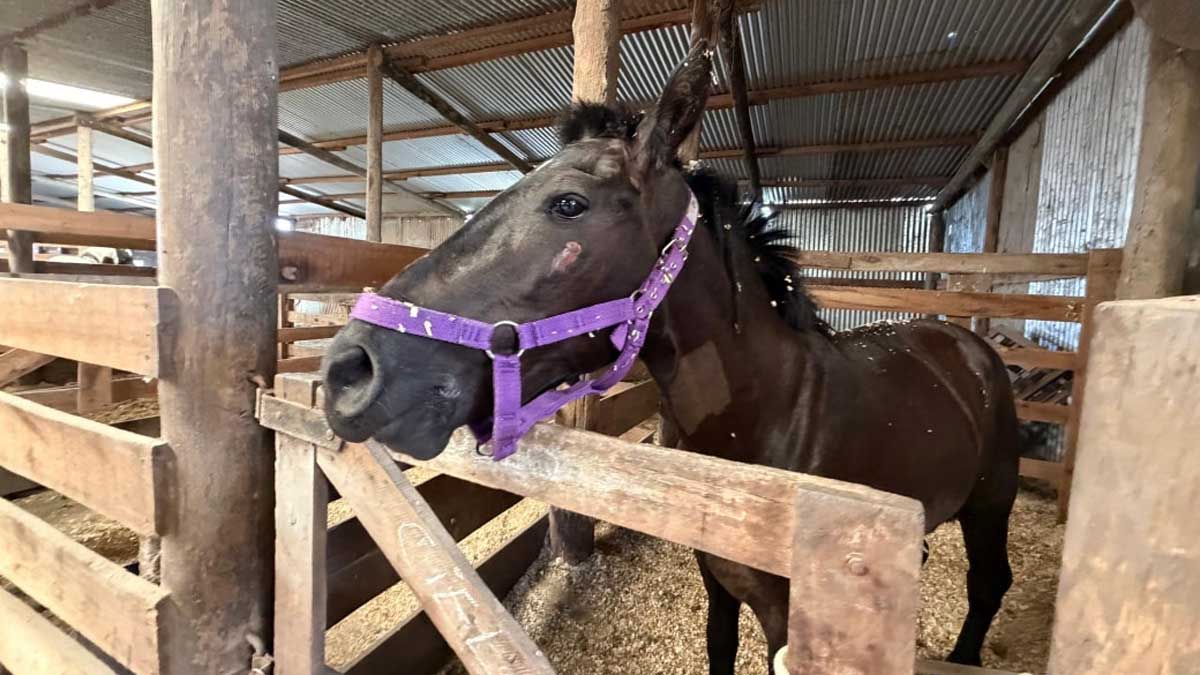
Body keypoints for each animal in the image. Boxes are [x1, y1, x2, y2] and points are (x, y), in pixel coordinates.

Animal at [322, 35, 1019, 675]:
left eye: (569, 203)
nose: (349, 370)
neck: (771, 419)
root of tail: (969, 346)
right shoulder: (720, 581)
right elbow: (718, 647)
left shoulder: (787, 619)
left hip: (991, 504)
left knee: (990, 585)